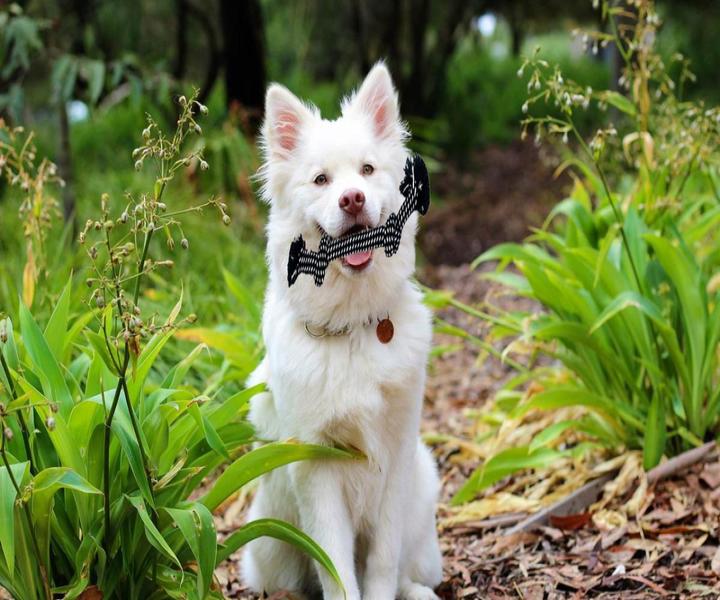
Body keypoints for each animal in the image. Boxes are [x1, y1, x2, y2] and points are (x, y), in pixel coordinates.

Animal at [243, 62, 444, 600]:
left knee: (407, 568)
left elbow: (382, 561)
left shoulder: (395, 456)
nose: (352, 199)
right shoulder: (317, 470)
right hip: (267, 538)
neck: (353, 327)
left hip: (423, 481)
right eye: (321, 180)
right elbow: (335, 568)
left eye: (368, 171)